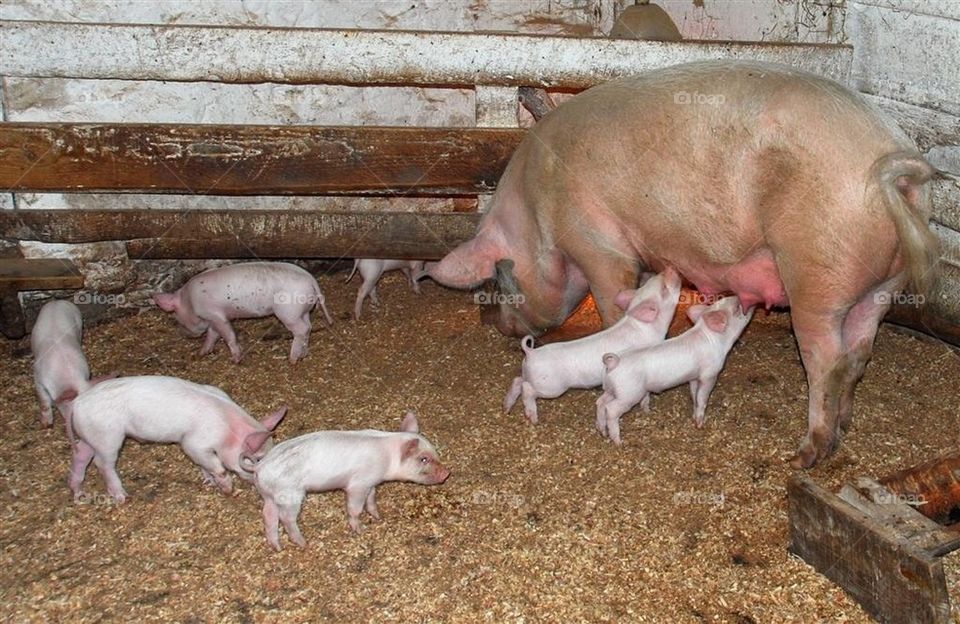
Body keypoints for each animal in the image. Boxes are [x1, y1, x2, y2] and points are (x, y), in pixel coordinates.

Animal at [63, 375, 286, 503]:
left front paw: (208, 482)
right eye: (257, 458)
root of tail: (77, 402)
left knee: (82, 455)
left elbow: (203, 465)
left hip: (91, 435)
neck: (227, 429)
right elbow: (216, 466)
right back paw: (122, 497)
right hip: (108, 436)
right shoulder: (193, 442)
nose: (258, 481)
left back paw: (78, 493)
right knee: (102, 463)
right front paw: (227, 489)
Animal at [153, 261, 333, 364]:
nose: (184, 334)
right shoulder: (213, 319)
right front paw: (202, 353)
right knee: (308, 327)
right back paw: (303, 354)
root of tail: (311, 279)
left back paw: (293, 359)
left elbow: (228, 335)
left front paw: (236, 360)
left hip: (288, 312)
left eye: (177, 318)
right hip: (303, 310)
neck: (189, 300)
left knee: (302, 329)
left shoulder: (216, 315)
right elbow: (212, 335)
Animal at [253, 411, 450, 551]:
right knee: (286, 518)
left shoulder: (371, 482)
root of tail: (260, 467)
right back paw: (304, 543)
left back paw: (277, 548)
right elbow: (355, 508)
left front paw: (378, 517)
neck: (388, 459)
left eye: (434, 452)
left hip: (269, 495)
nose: (447, 472)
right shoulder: (358, 484)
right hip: (290, 494)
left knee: (268, 515)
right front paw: (361, 530)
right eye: (423, 459)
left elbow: (371, 500)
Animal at [503, 268, 681, 423]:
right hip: (550, 386)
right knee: (527, 389)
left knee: (518, 381)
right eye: (664, 289)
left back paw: (507, 408)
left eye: (651, 280)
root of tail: (530, 353)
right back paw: (532, 419)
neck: (646, 327)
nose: (670, 268)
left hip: (532, 377)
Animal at [596, 296, 755, 445]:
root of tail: (613, 362)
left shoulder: (694, 377)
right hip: (628, 393)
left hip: (613, 389)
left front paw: (694, 415)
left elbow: (694, 394)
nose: (751, 303)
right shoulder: (709, 374)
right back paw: (618, 442)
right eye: (736, 308)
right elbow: (702, 398)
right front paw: (699, 424)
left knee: (600, 402)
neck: (717, 340)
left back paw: (603, 432)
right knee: (611, 409)